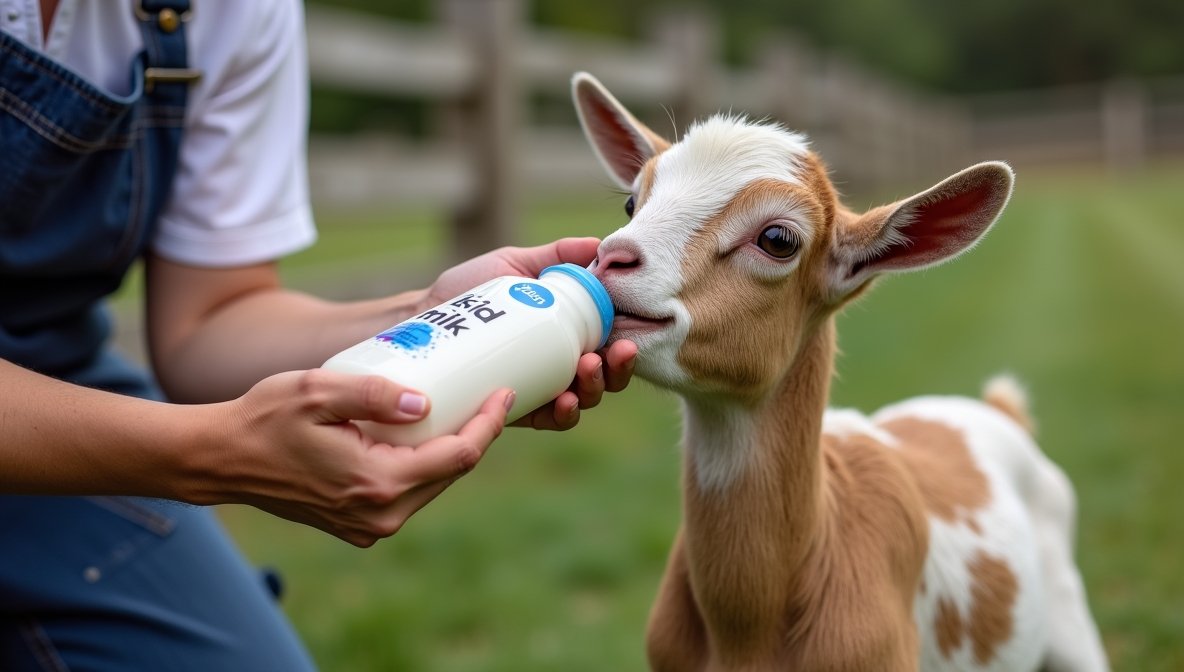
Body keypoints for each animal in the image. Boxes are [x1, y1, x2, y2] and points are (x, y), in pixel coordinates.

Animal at [572, 72, 1109, 672]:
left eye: (778, 239)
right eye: (630, 202)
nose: (612, 257)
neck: (747, 634)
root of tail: (1000, 411)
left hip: (1071, 614)